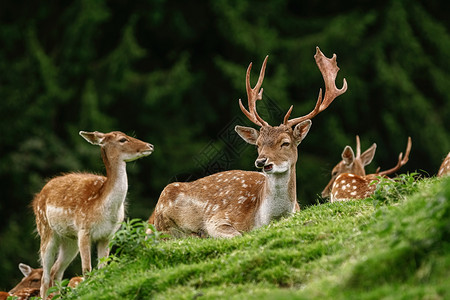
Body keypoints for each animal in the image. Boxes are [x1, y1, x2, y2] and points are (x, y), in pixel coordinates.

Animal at [32, 131, 153, 298]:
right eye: (122, 139)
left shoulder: (107, 235)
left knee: (56, 271)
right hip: (45, 230)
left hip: (70, 240)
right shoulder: (84, 230)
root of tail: (37, 198)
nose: (150, 146)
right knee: (45, 277)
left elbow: (103, 268)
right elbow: (87, 270)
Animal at [152, 47, 348, 238]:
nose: (261, 161)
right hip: (164, 213)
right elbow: (238, 234)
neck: (264, 218)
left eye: (285, 143)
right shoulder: (218, 218)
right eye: (258, 144)